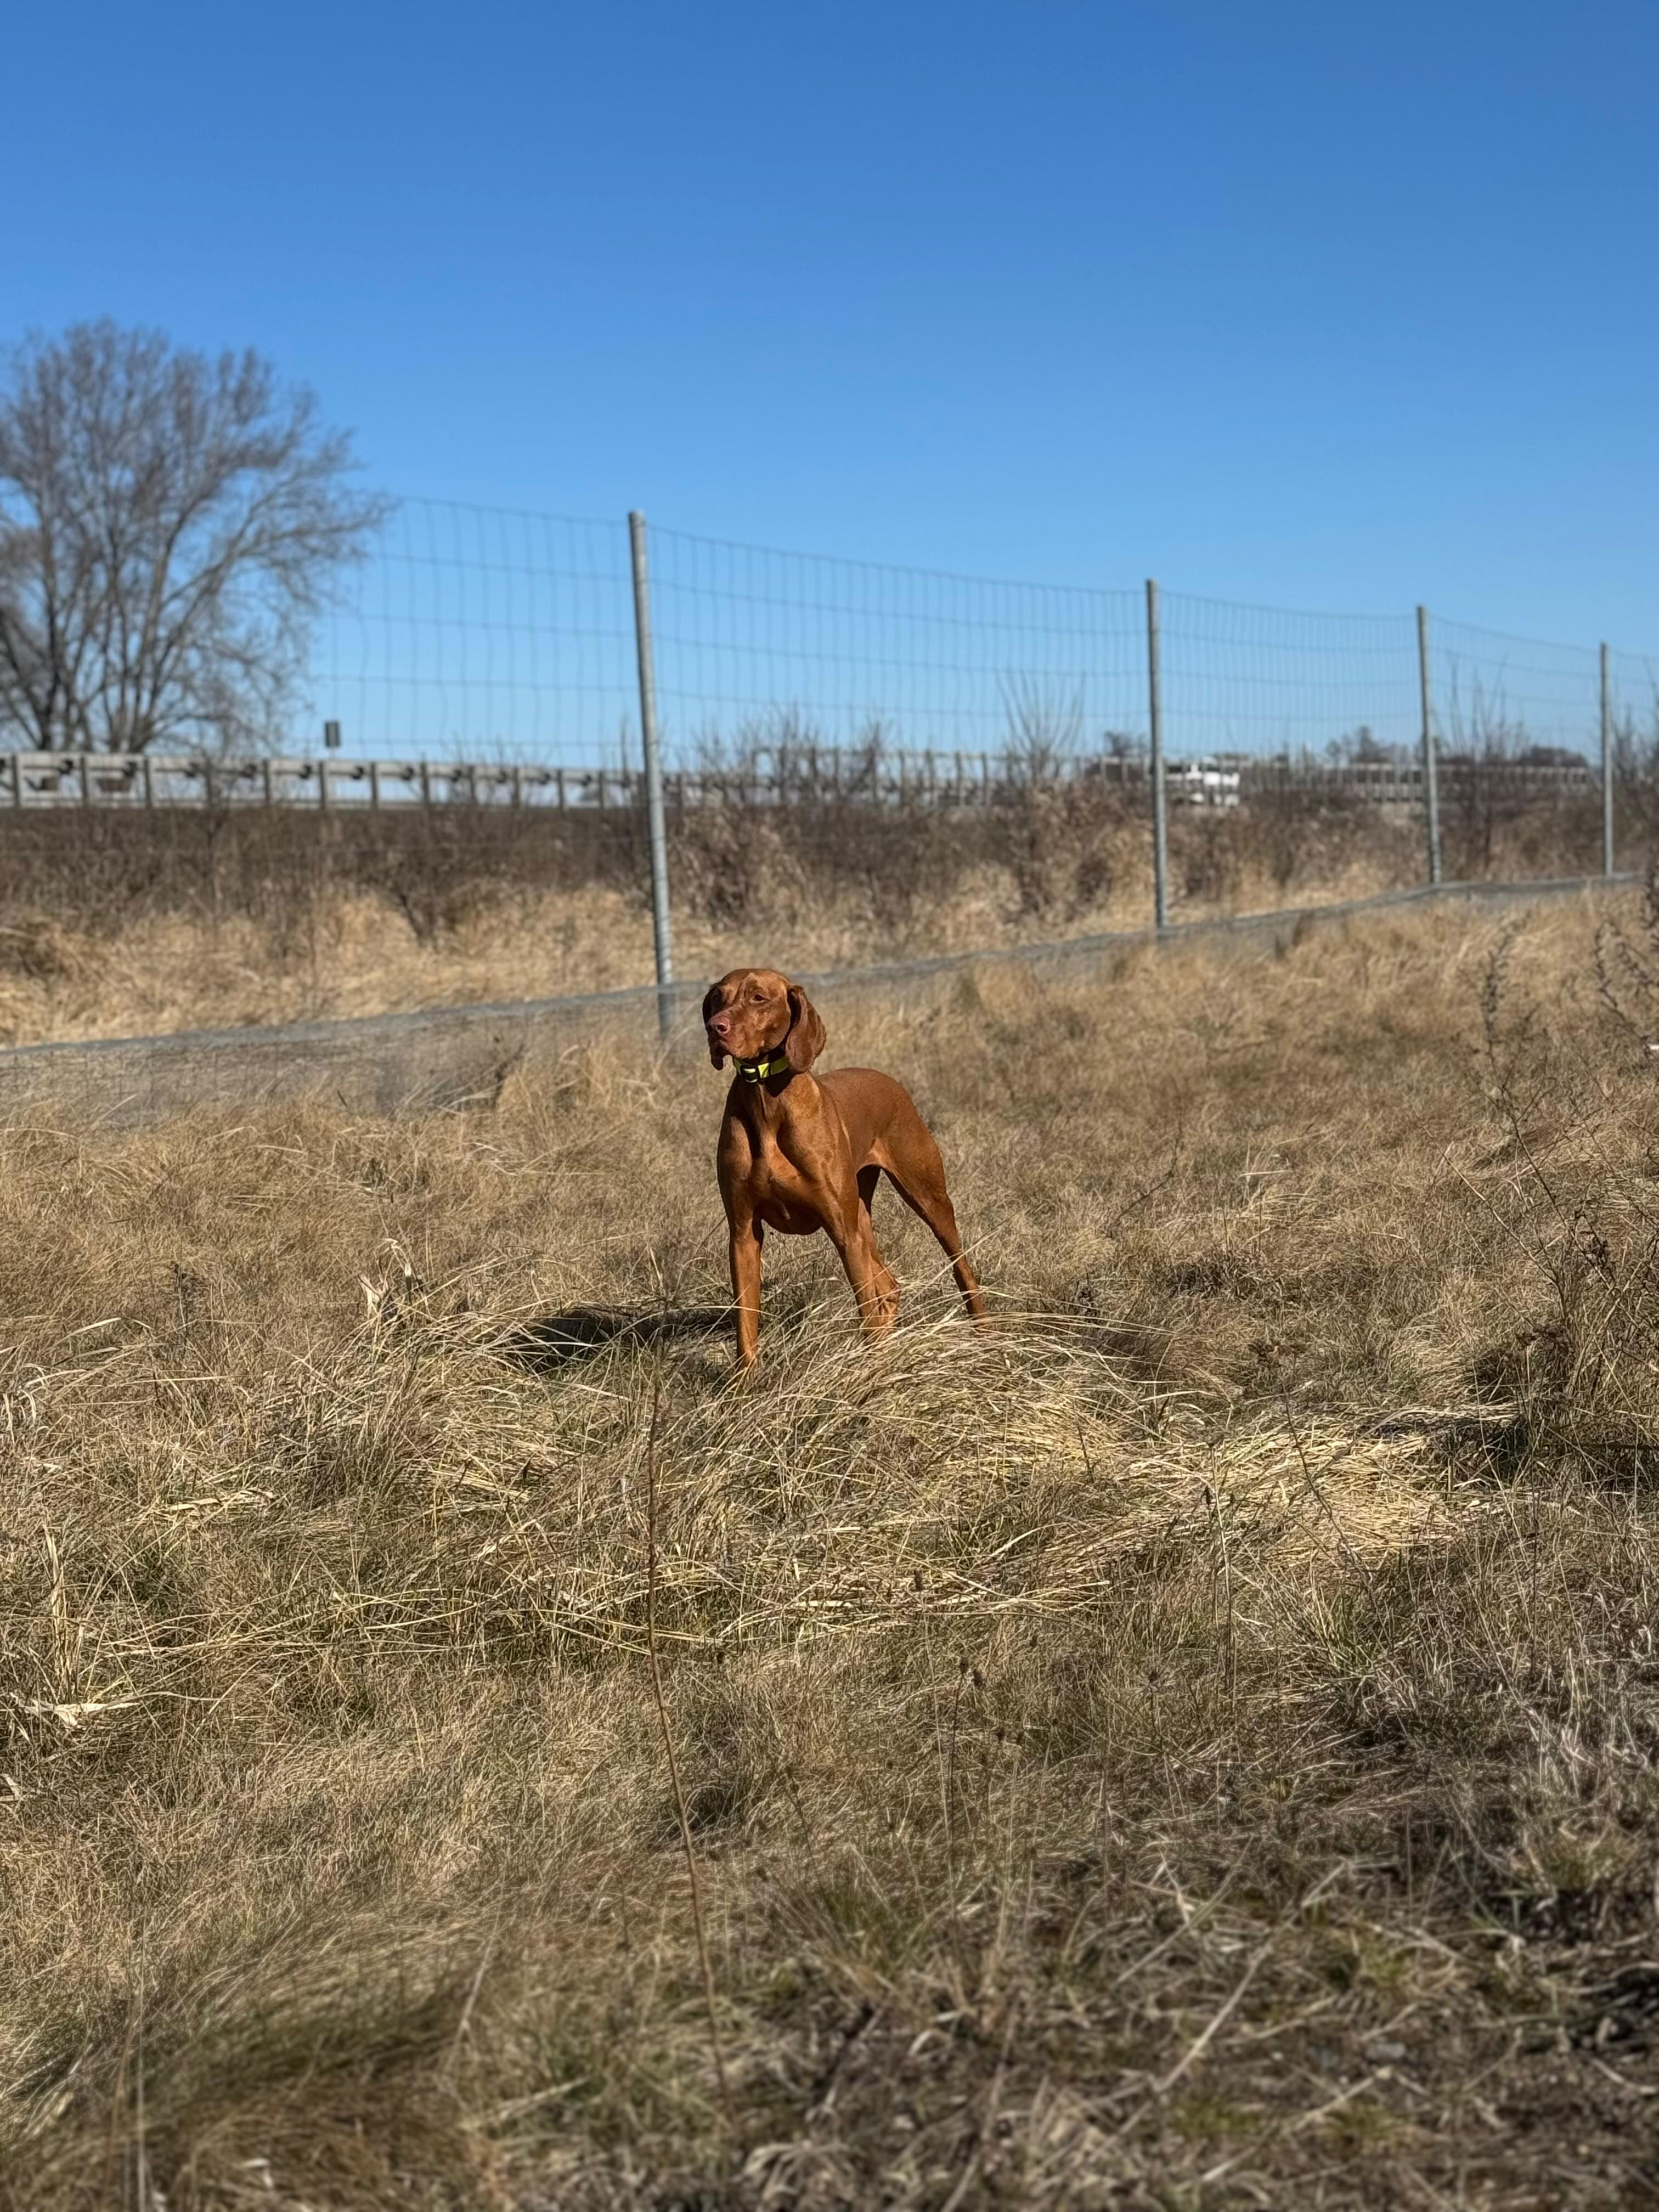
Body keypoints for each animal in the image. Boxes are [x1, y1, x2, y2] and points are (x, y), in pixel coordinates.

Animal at [702, 967, 985, 1365]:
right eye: (718, 998)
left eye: (759, 998)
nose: (716, 1028)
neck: (767, 1103)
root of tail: (889, 1080)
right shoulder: (743, 1234)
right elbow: (746, 1329)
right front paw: (744, 1382)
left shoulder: (842, 1230)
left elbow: (866, 1311)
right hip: (862, 1215)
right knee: (889, 1287)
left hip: (927, 1199)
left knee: (962, 1271)